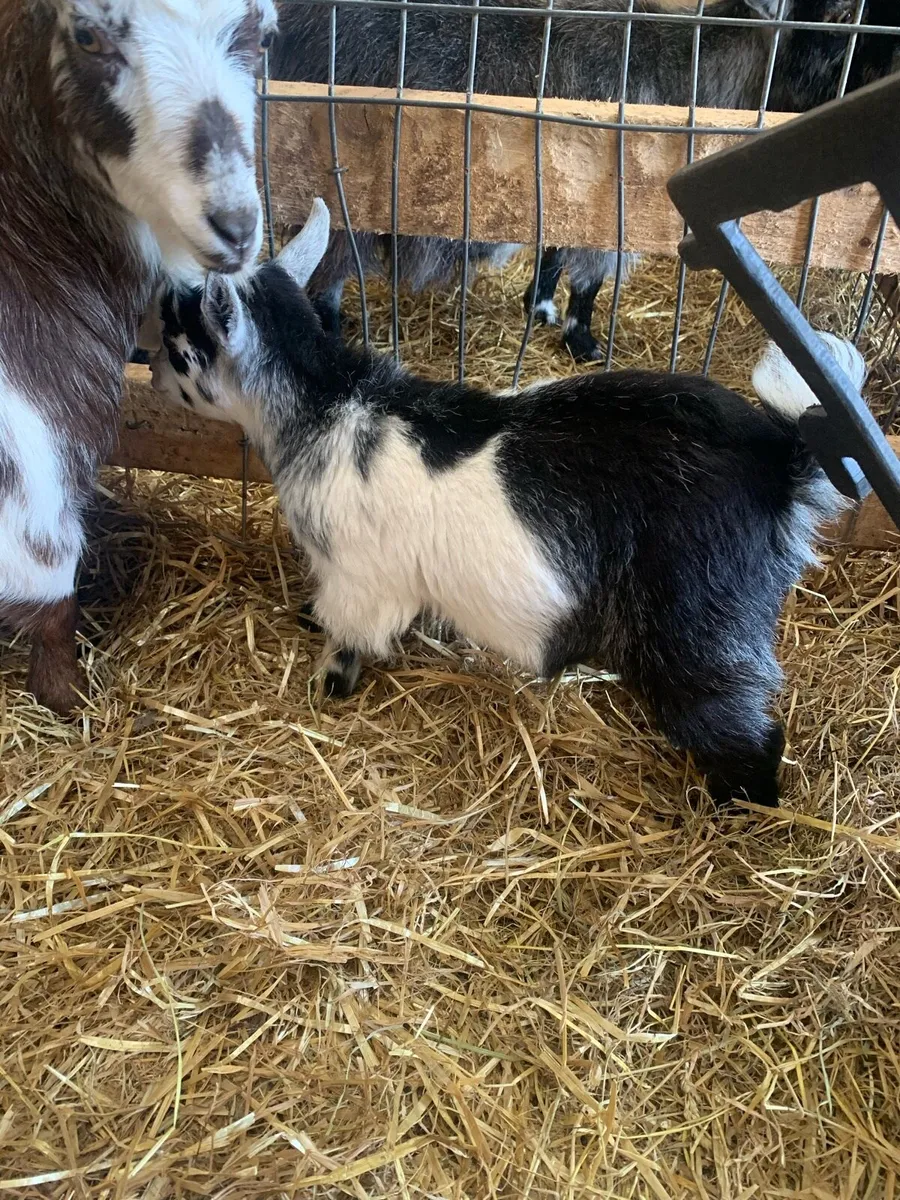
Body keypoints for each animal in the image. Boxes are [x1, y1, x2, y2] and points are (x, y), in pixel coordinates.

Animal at [0, 0, 277, 715]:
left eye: (261, 33)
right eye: (87, 34)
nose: (235, 226)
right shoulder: (35, 499)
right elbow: (53, 614)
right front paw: (70, 701)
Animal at [149, 199, 861, 809]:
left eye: (179, 341)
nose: (149, 375)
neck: (330, 404)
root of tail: (778, 464)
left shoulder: (357, 577)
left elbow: (348, 634)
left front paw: (329, 683)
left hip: (702, 622)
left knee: (738, 720)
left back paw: (736, 804)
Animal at [269, 0, 879, 361]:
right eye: (836, 18)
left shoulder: (570, 194)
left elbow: (555, 254)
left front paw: (538, 307)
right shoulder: (615, 209)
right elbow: (589, 282)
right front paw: (582, 342)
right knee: (324, 275)